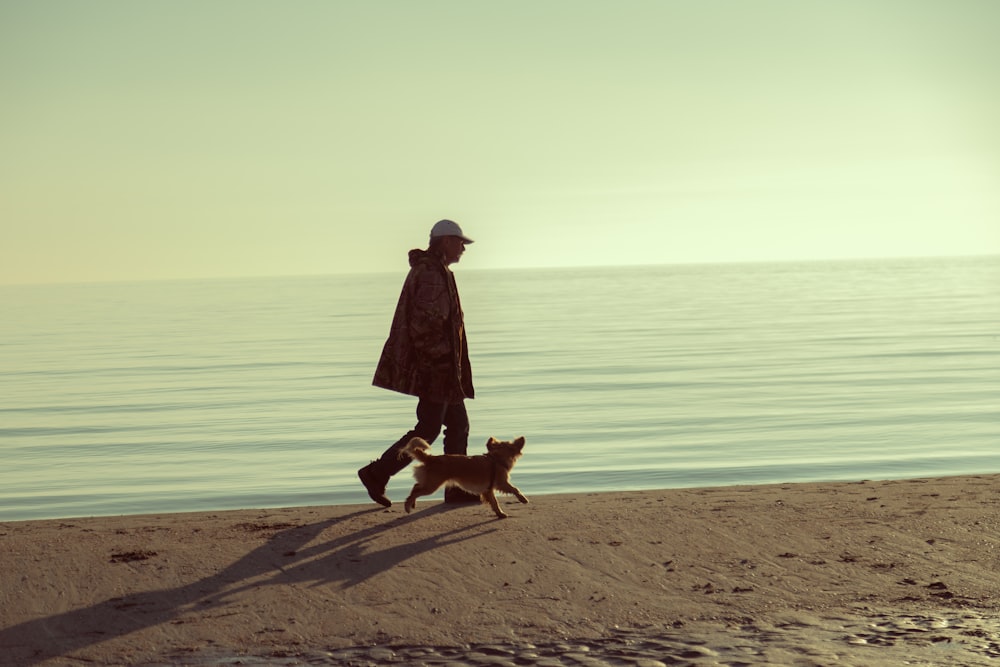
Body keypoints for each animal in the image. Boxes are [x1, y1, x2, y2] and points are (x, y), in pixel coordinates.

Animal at [402, 436, 532, 520]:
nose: (522, 437)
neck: (496, 459)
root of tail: (432, 458)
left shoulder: (488, 490)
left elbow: (495, 503)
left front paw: (500, 514)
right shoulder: (502, 483)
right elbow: (515, 489)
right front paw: (523, 499)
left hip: (429, 483)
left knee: (416, 486)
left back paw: (411, 503)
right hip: (432, 486)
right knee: (416, 490)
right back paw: (408, 506)